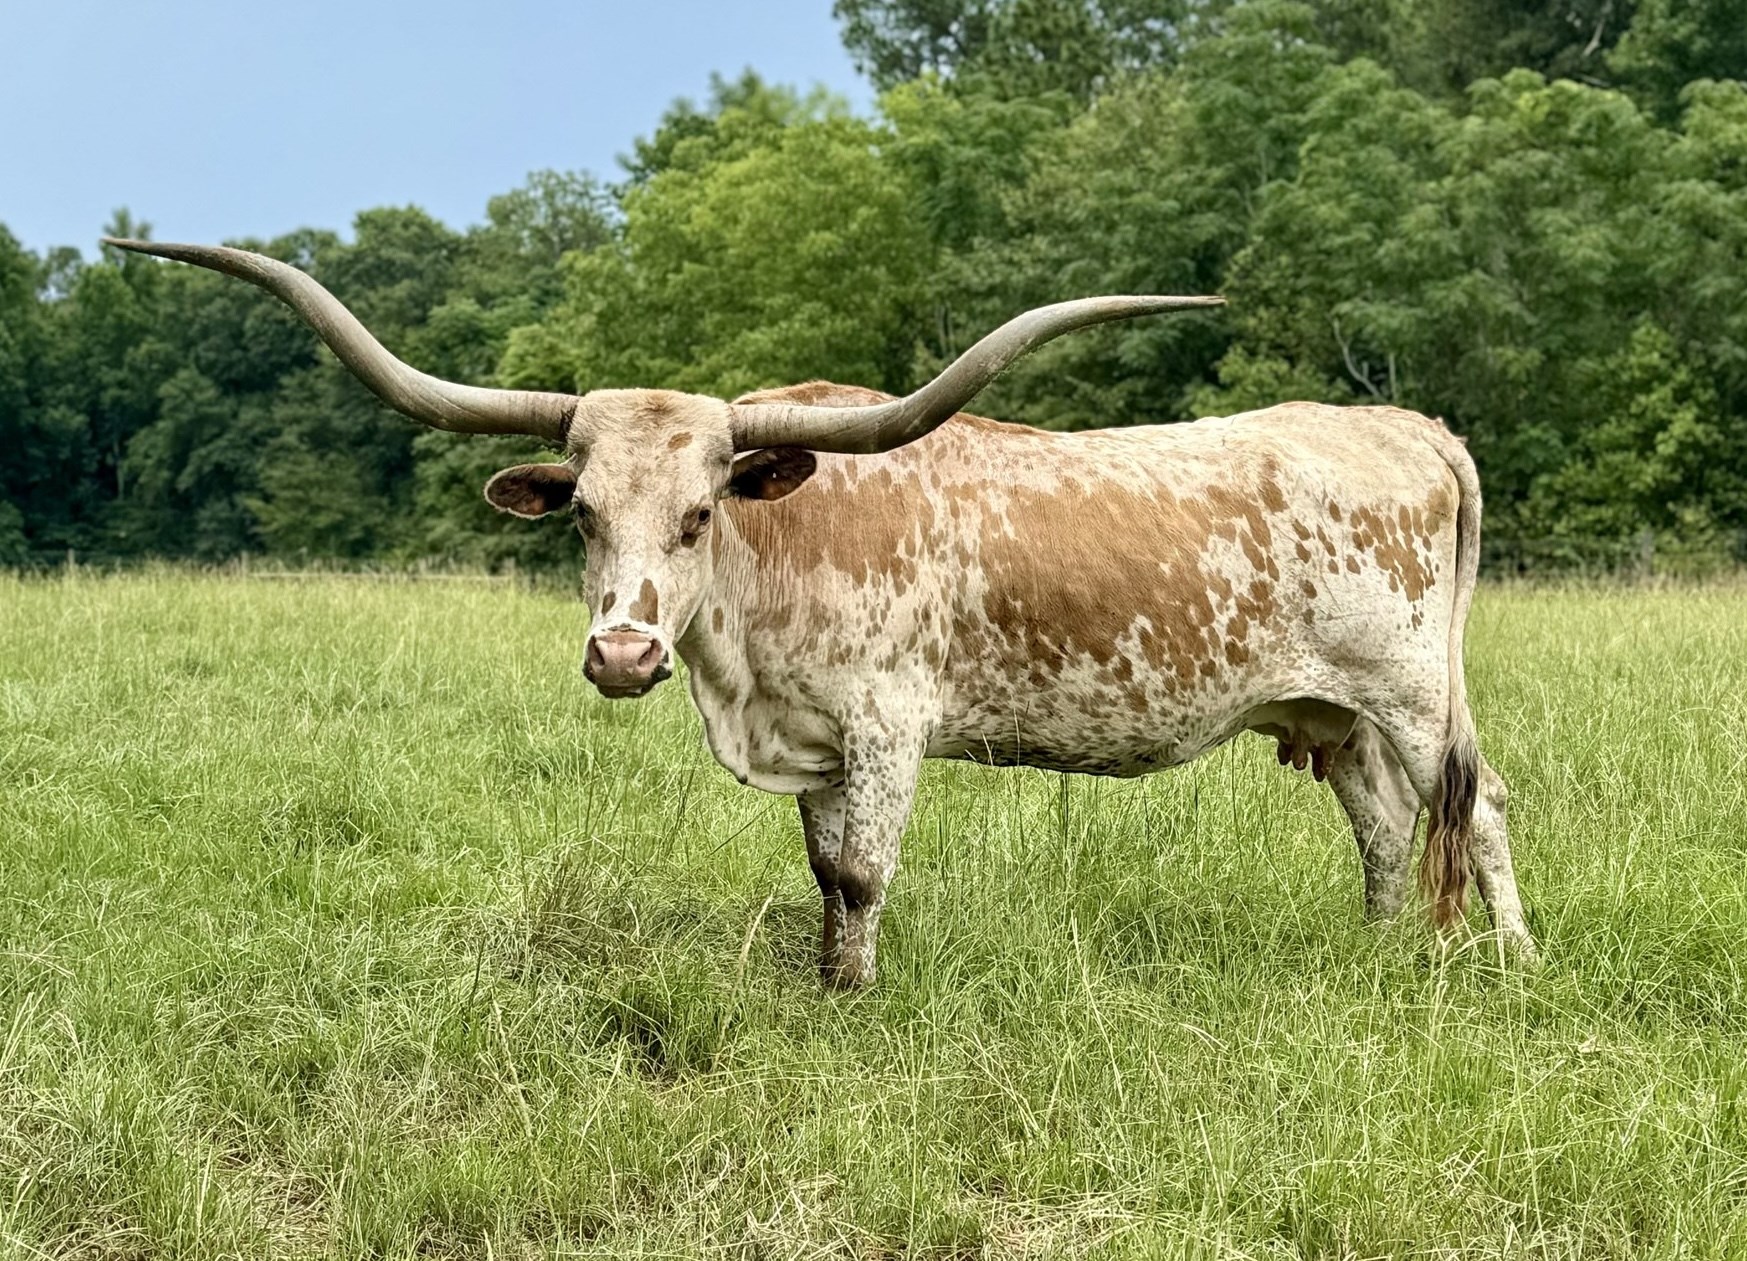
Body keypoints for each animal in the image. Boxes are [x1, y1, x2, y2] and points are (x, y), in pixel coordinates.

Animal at [105, 238, 1536, 988]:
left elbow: (862, 869)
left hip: (1414, 695)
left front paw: (854, 997)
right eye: (583, 515)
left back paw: (1510, 960)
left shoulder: (887, 725)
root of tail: (1407, 425)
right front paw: (824, 978)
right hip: (1329, 714)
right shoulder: (807, 740)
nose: (621, 652)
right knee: (1381, 827)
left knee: (1475, 812)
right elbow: (820, 871)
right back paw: (1374, 951)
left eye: (699, 513)